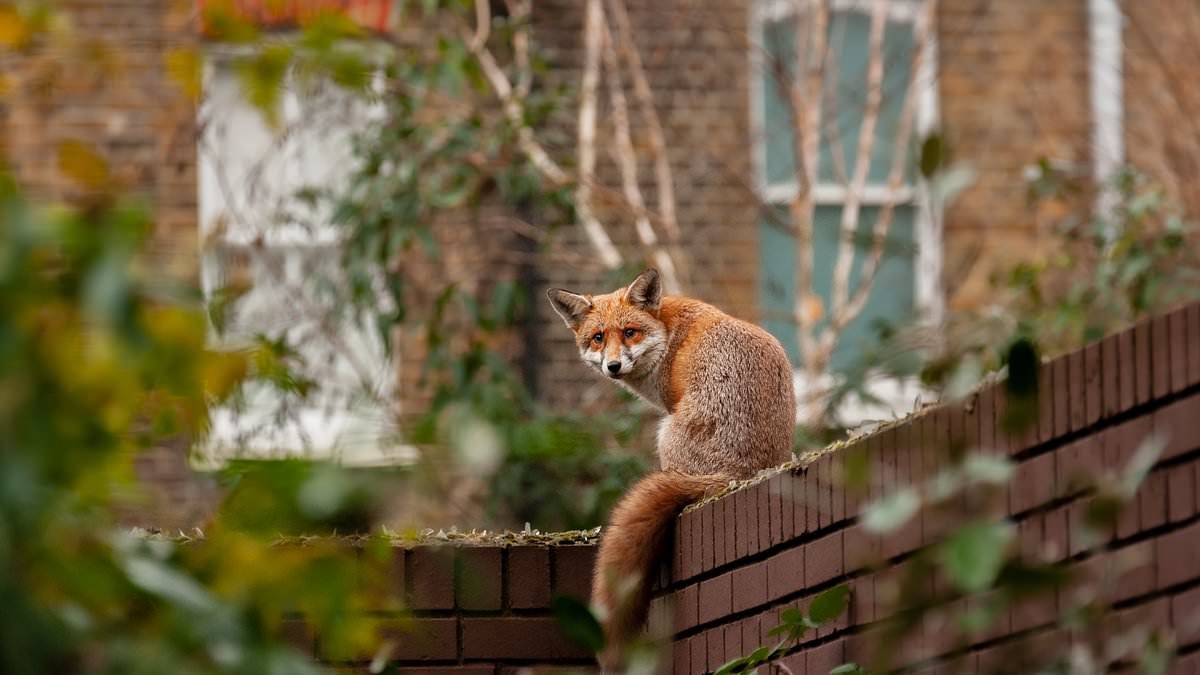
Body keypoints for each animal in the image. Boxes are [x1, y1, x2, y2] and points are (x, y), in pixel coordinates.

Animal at [546, 268, 795, 671]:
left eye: (629, 332)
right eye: (598, 338)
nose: (613, 366)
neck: (667, 332)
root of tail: (739, 474)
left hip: (664, 435)